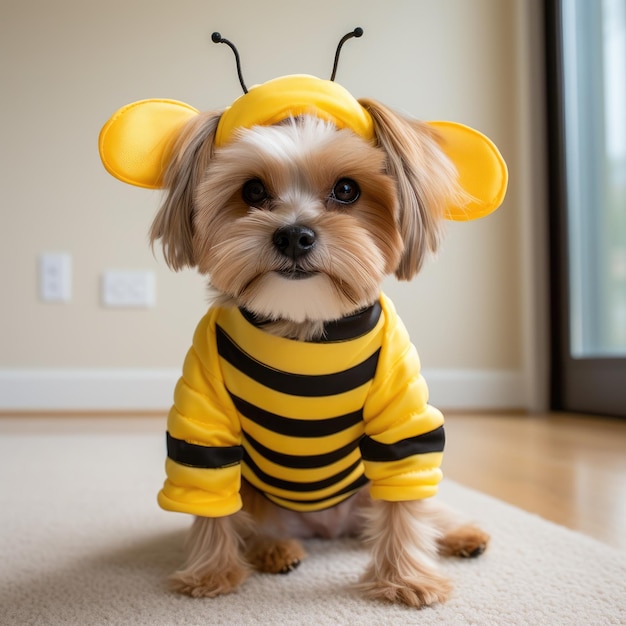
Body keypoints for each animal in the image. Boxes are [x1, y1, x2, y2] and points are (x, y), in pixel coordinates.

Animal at [98, 29, 508, 604]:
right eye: (251, 191)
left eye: (346, 190)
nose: (293, 234)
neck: (303, 327)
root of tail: (328, 529)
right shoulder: (202, 417)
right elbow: (206, 493)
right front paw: (211, 573)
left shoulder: (401, 412)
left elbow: (407, 496)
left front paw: (406, 579)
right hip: (263, 500)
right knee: (252, 521)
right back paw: (275, 550)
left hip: (366, 494)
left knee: (418, 506)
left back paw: (461, 535)